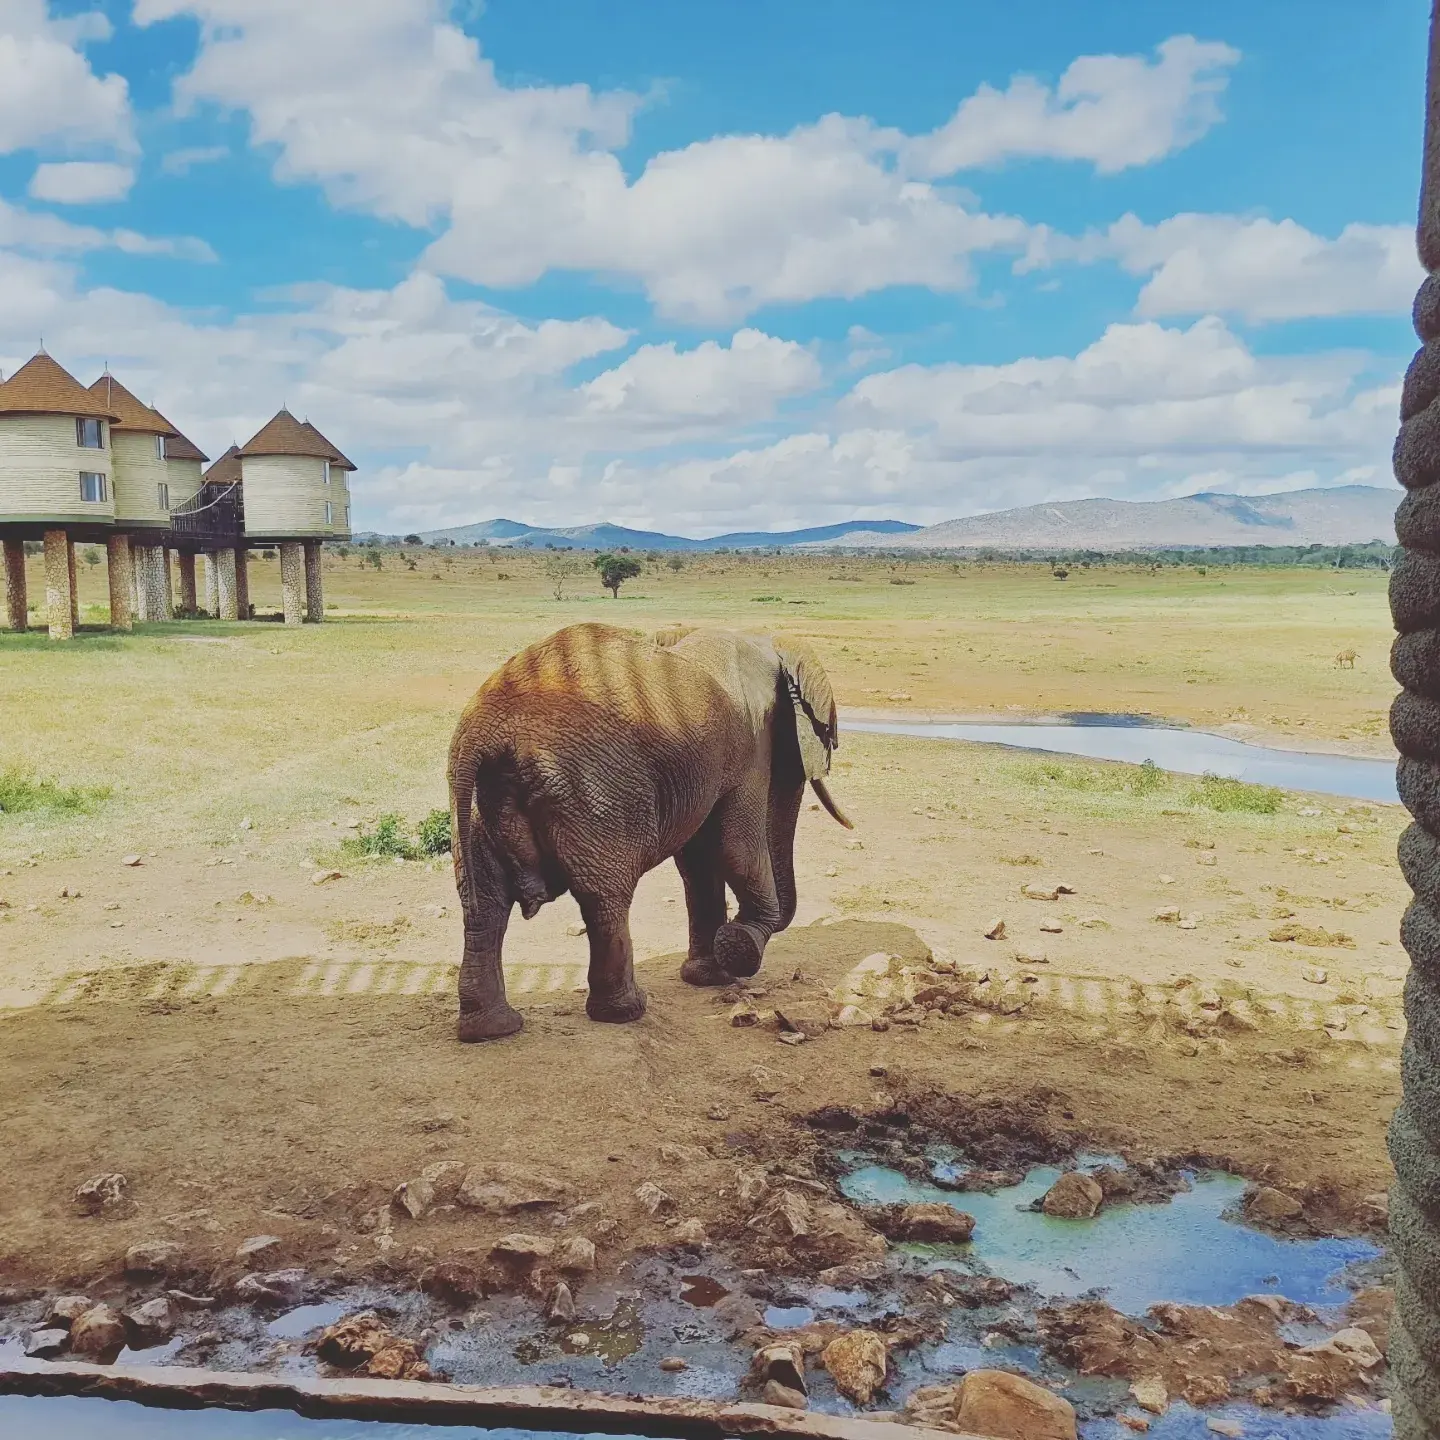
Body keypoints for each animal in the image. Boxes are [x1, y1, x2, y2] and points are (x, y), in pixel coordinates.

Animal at [446, 621, 852, 1041]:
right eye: (827, 736)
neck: (763, 641)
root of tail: (484, 735)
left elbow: (698, 863)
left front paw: (709, 976)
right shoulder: (749, 746)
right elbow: (735, 848)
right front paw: (740, 949)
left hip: (475, 806)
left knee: (484, 904)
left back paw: (492, 1029)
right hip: (594, 792)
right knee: (604, 898)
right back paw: (626, 1011)